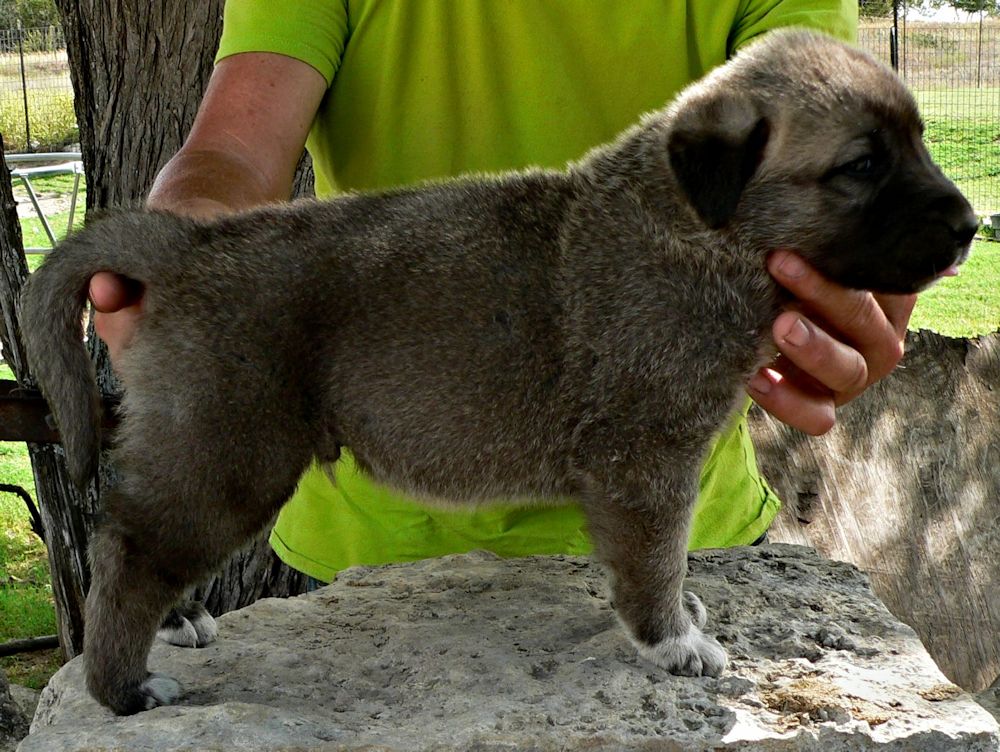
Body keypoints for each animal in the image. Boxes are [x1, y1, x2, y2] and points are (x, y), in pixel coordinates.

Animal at [17, 30, 976, 716]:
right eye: (861, 166)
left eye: (918, 143)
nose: (970, 227)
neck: (697, 226)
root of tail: (184, 247)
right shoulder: (646, 463)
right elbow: (654, 559)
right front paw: (671, 641)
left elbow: (649, 559)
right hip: (230, 451)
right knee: (129, 546)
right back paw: (124, 687)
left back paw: (173, 626)